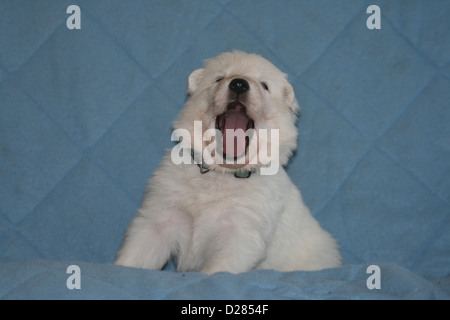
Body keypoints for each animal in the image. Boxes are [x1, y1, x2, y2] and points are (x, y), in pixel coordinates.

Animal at [116, 51, 342, 274]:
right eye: (219, 78)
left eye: (265, 85)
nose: (239, 84)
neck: (221, 172)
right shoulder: (159, 219)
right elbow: (135, 255)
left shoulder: (240, 234)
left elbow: (216, 271)